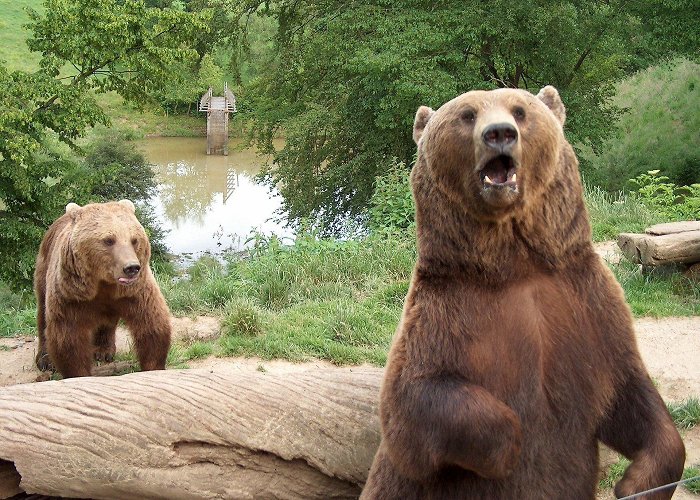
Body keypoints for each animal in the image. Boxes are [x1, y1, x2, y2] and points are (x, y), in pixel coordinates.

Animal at [34, 199, 172, 378]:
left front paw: (153, 366)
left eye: (134, 240)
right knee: (43, 313)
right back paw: (44, 360)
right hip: (44, 268)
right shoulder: (71, 295)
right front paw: (78, 372)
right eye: (109, 240)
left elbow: (152, 326)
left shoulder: (136, 292)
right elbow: (69, 339)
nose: (132, 267)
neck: (104, 284)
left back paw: (104, 351)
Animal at [364, 89, 688, 500]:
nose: (500, 133)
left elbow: (629, 392)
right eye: (467, 114)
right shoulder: (443, 313)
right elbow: (410, 403)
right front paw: (510, 447)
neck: (518, 265)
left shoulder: (589, 307)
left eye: (520, 111)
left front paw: (636, 482)